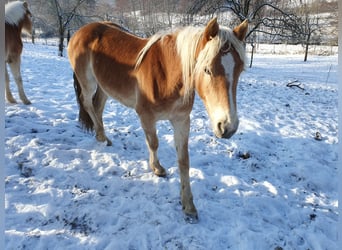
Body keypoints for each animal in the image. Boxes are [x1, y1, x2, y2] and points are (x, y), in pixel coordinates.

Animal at [68, 18, 247, 223]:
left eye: (240, 70)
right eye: (207, 69)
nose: (228, 126)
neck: (168, 75)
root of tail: (81, 30)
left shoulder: (181, 121)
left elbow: (184, 161)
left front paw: (188, 205)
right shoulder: (146, 116)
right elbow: (153, 143)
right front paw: (157, 169)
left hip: (104, 85)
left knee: (97, 106)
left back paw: (102, 136)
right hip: (87, 82)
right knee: (88, 103)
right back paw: (102, 136)